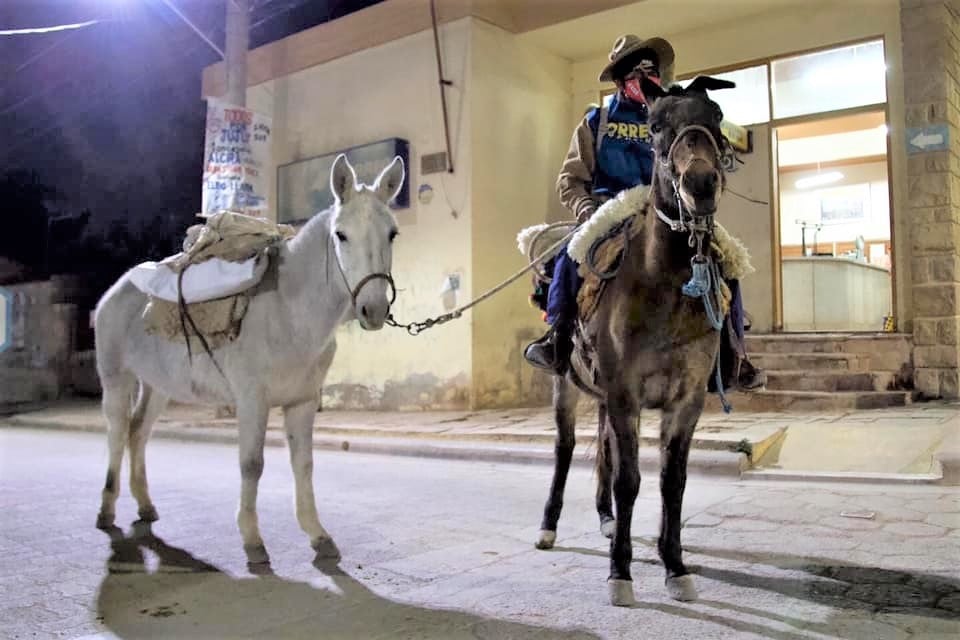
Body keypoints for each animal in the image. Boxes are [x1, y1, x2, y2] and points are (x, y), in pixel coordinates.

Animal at [93, 155, 402, 564]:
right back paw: (106, 510)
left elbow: (304, 464)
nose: (373, 309)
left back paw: (145, 506)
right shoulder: (253, 401)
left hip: (158, 386)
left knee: (138, 432)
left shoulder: (302, 402)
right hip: (117, 380)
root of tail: (115, 292)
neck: (289, 310)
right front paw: (253, 540)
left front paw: (318, 535)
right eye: (341, 235)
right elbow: (252, 465)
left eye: (392, 233)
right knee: (116, 434)